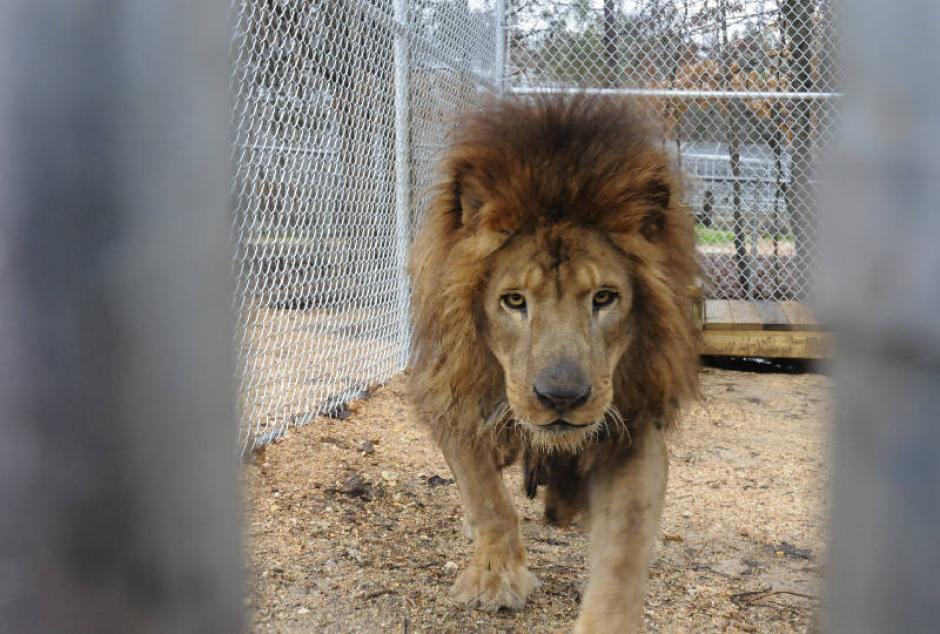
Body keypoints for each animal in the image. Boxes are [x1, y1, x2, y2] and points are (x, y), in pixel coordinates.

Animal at [407, 94, 699, 633]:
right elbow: (487, 496)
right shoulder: (450, 398)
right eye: (514, 301)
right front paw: (495, 576)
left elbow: (623, 548)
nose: (561, 397)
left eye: (604, 297)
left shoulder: (631, 429)